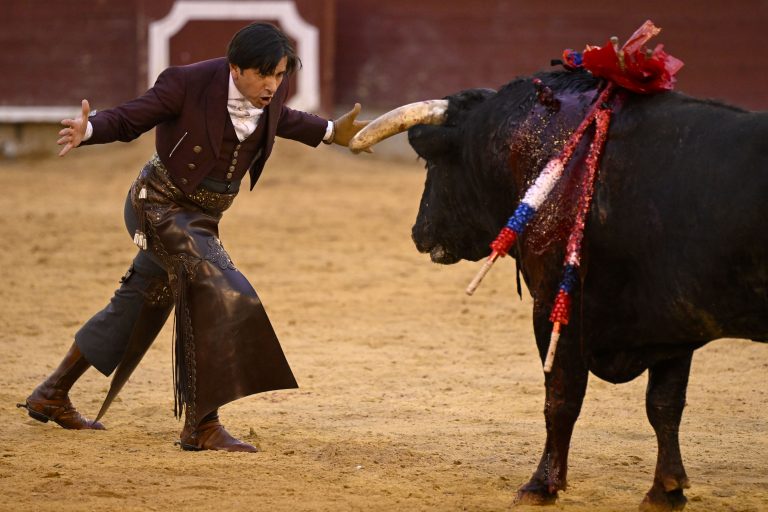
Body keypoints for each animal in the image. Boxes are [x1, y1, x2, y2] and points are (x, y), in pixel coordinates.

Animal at [348, 68, 768, 510]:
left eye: (432, 163)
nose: (418, 232)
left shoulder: (554, 303)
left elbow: (562, 397)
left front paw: (541, 485)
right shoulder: (672, 324)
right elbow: (664, 404)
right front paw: (664, 492)